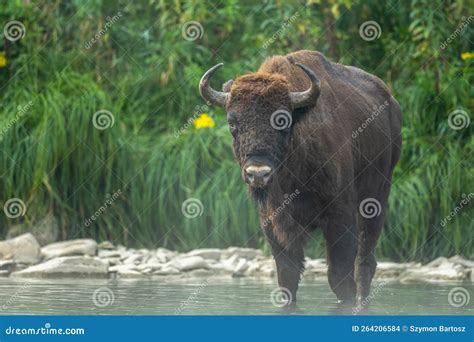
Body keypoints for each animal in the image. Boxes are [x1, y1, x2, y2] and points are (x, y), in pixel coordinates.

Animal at [198, 49, 402, 306]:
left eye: (283, 120)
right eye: (232, 123)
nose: (258, 173)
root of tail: (391, 103)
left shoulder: (340, 216)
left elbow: (339, 277)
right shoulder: (274, 223)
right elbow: (288, 277)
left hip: (377, 197)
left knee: (365, 261)